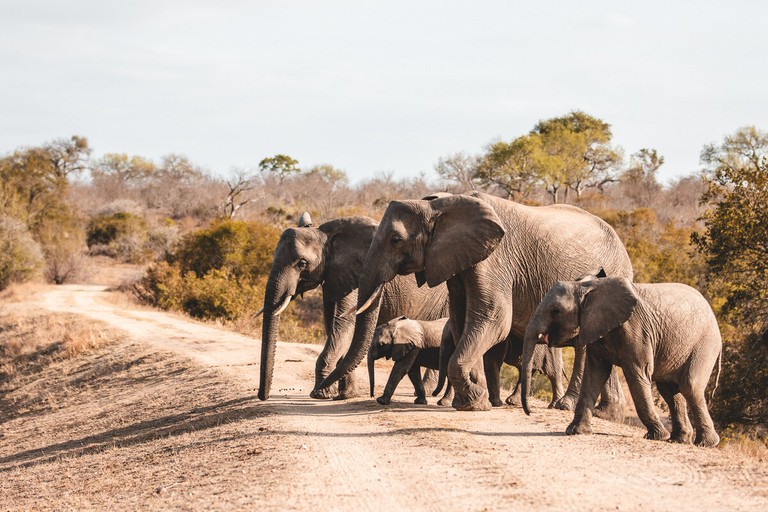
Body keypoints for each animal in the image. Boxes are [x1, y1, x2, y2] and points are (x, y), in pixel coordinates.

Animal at [257, 212, 449, 401]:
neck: (327, 236)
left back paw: (428, 391)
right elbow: (333, 325)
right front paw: (345, 394)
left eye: (302, 263)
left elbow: (344, 324)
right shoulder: (334, 276)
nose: (262, 397)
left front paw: (322, 394)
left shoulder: (356, 275)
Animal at [317, 191, 634, 413]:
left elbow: (494, 318)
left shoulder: (496, 258)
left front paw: (472, 402)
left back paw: (566, 406)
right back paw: (607, 412)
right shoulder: (457, 259)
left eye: (395, 240)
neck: (440, 204)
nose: (317, 393)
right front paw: (474, 398)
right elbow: (461, 318)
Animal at [521, 273, 722, 447]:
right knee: (669, 390)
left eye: (555, 311)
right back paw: (679, 440)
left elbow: (637, 375)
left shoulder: (636, 330)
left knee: (690, 386)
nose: (530, 413)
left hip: (704, 344)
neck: (587, 287)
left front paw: (656, 436)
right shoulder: (596, 327)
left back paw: (705, 443)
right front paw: (574, 431)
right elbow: (595, 374)